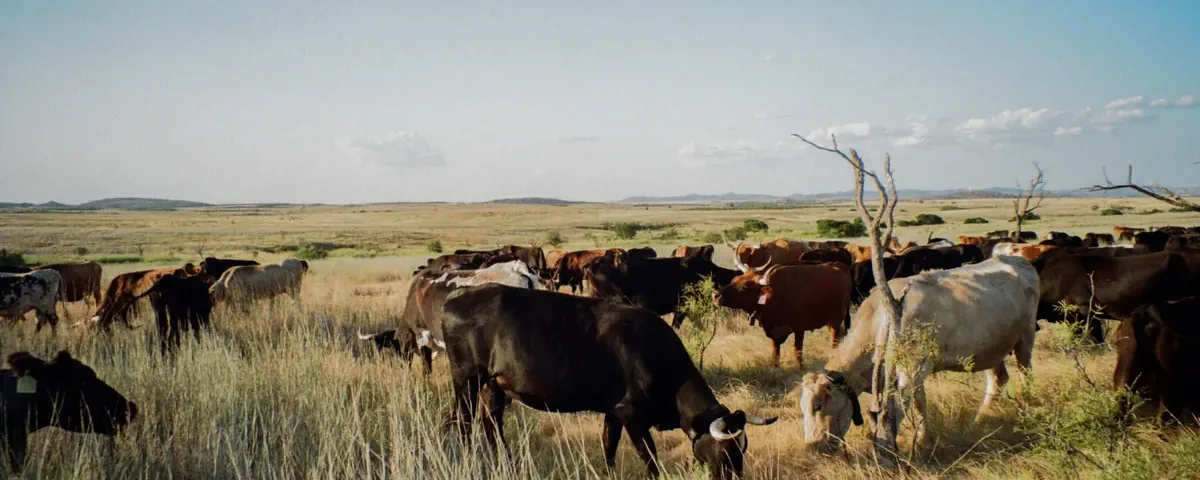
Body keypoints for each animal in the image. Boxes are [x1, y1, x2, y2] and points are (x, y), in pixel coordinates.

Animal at [441, 284, 777, 479]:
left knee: (492, 423)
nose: (737, 478)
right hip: (466, 378)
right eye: (726, 451)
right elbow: (649, 457)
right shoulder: (631, 415)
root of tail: (454, 297)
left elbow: (608, 447)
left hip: (494, 384)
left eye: (743, 448)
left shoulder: (613, 412)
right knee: (464, 421)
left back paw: (506, 463)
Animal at [714, 263, 852, 367]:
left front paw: (801, 368)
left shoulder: (799, 329)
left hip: (835, 320)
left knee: (835, 341)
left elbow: (798, 352)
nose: (716, 295)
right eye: (734, 280)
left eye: (745, 287)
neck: (775, 296)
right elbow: (775, 355)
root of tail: (839, 267)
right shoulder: (774, 332)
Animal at [797, 255, 1038, 452]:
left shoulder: (914, 369)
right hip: (990, 348)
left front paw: (923, 440)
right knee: (998, 378)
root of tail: (1017, 259)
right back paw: (981, 418)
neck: (881, 321)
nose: (812, 446)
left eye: (817, 406)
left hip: (1025, 338)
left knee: (1025, 376)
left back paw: (1025, 414)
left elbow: (918, 404)